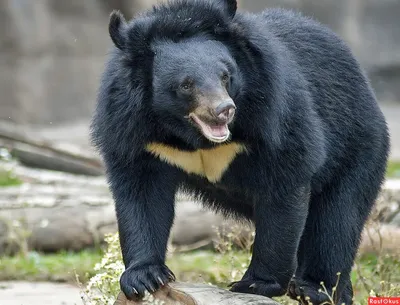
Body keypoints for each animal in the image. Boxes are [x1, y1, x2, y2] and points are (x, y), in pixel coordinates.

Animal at [90, 1, 390, 302]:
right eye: (186, 84)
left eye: (226, 75)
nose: (224, 109)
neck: (192, 138)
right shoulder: (133, 131)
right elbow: (142, 194)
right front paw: (144, 277)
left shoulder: (274, 114)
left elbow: (284, 186)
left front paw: (257, 283)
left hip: (358, 146)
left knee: (336, 220)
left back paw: (315, 288)